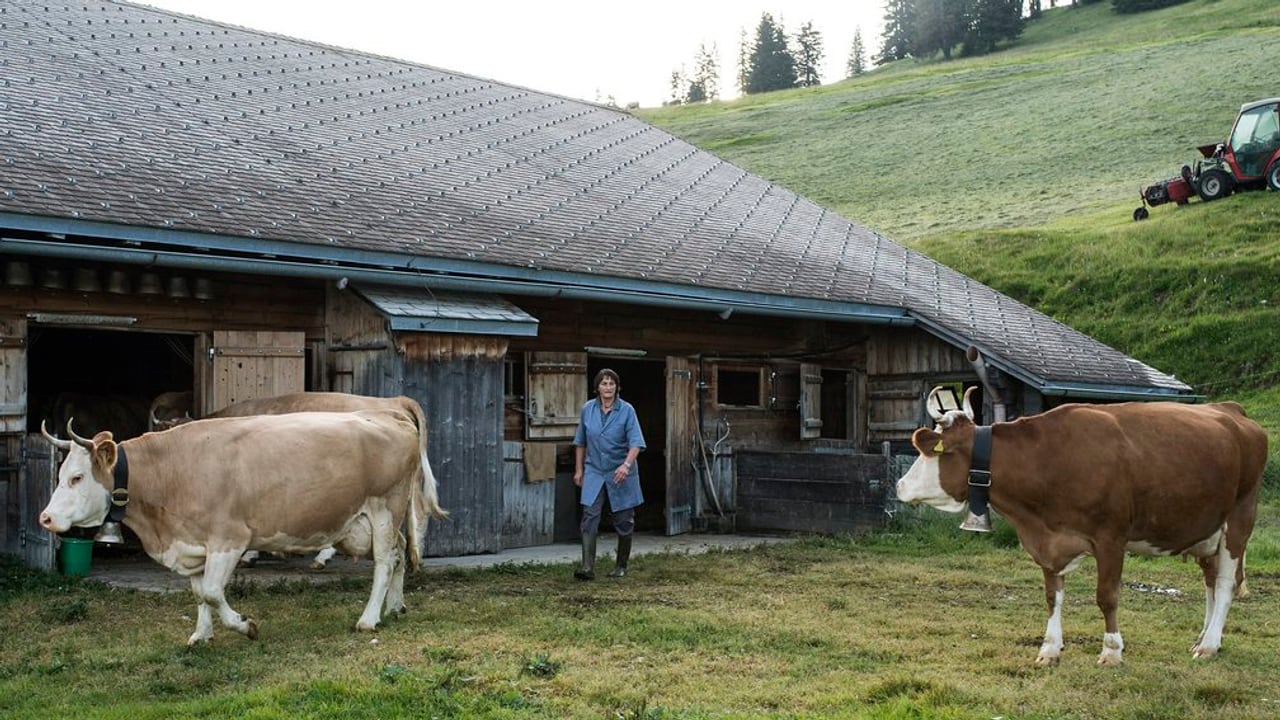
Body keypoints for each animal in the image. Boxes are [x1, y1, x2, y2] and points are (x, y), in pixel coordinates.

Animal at [38, 409, 430, 645]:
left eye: (76, 477)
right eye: (60, 474)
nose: (44, 518)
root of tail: (388, 414)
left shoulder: (229, 539)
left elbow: (213, 592)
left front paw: (246, 625)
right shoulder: (192, 545)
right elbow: (199, 594)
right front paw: (201, 636)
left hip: (384, 508)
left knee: (384, 563)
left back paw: (369, 619)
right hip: (370, 524)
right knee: (397, 554)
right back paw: (395, 607)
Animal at [896, 386, 1264, 661]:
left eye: (928, 452)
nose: (899, 485)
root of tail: (1232, 410)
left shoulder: (1111, 537)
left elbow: (1107, 596)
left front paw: (1112, 650)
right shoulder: (1048, 541)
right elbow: (1052, 596)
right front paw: (1049, 648)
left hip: (1239, 519)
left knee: (1225, 584)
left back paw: (1209, 645)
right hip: (1206, 529)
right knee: (1210, 582)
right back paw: (1204, 637)